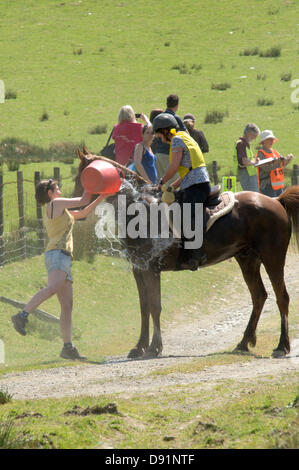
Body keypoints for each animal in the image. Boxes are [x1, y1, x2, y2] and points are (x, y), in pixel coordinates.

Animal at [75, 151, 299, 360]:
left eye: (85, 178)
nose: (79, 208)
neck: (140, 208)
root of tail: (276, 200)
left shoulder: (151, 269)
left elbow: (155, 306)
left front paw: (154, 348)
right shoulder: (138, 268)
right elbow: (144, 307)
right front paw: (139, 347)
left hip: (273, 258)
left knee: (282, 297)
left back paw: (282, 346)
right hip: (247, 260)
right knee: (259, 296)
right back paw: (244, 343)